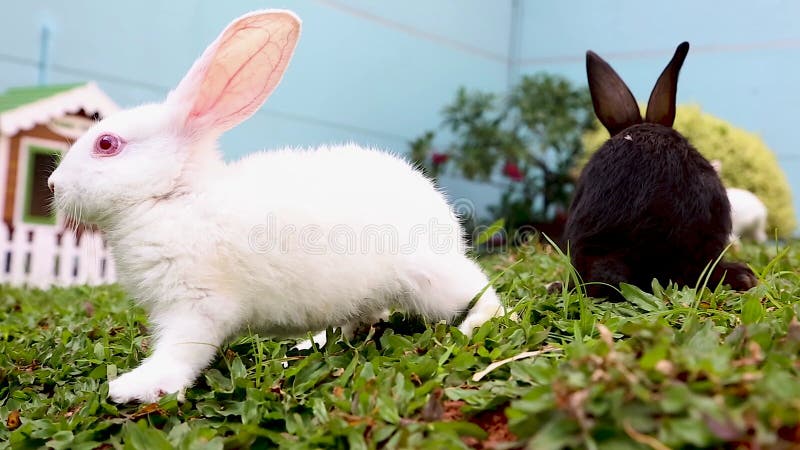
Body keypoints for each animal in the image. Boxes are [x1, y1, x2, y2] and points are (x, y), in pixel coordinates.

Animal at [48, 9, 500, 404]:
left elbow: (181, 352)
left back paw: (474, 324)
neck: (174, 196)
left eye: (107, 144)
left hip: (431, 278)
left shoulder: (197, 305)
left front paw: (134, 387)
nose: (53, 184)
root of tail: (442, 214)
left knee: (484, 294)